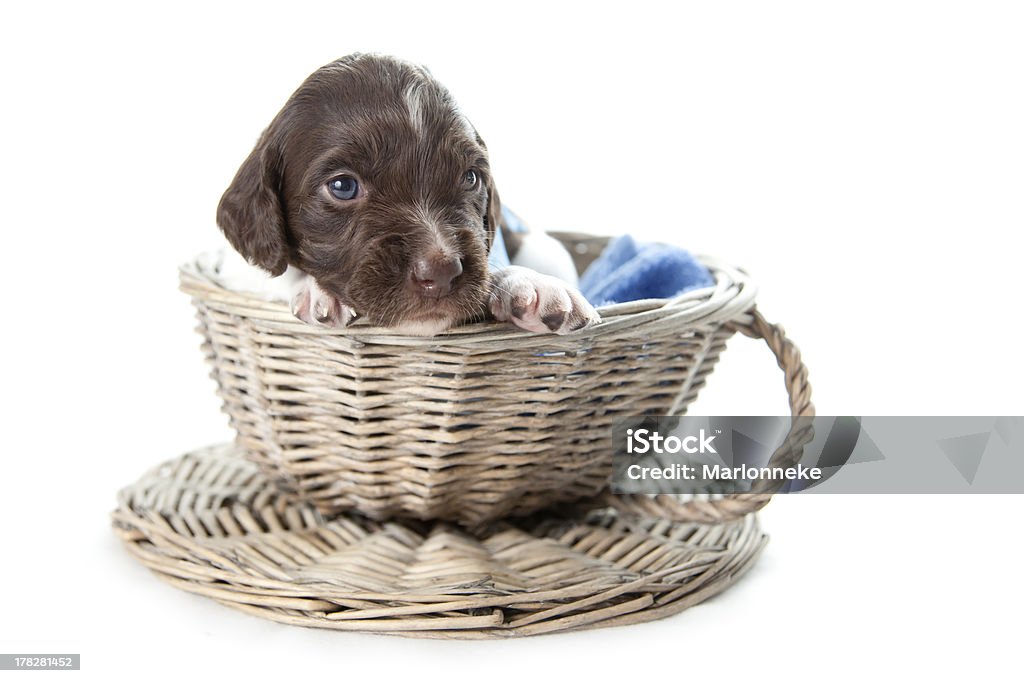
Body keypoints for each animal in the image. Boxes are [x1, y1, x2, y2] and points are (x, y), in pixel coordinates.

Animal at [216, 53, 598, 335]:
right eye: (343, 186)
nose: (441, 273)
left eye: (470, 178)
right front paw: (318, 290)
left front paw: (530, 284)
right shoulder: (232, 267)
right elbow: (275, 272)